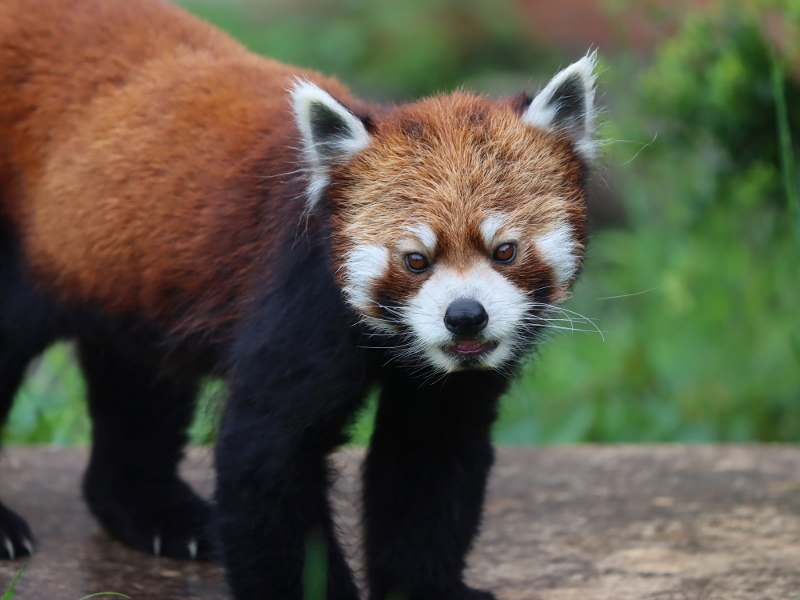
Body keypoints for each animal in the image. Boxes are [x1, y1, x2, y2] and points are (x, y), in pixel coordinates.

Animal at [0, 1, 596, 600]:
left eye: (505, 250)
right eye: (415, 260)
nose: (465, 316)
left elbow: (428, 462)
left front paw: (427, 588)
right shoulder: (299, 303)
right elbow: (268, 461)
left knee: (138, 383)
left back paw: (157, 515)